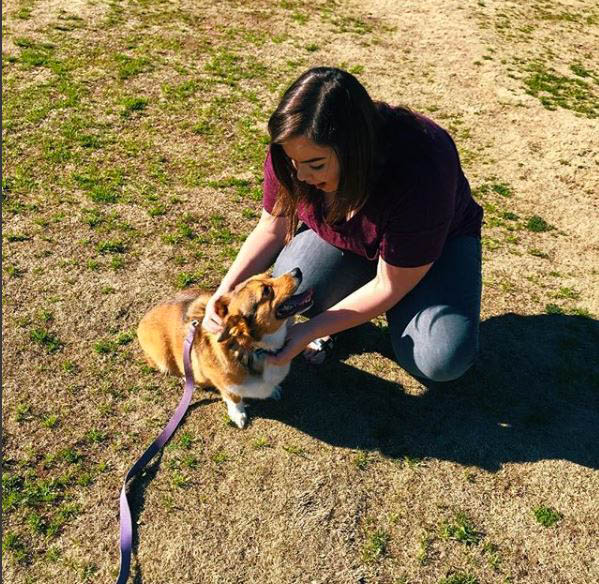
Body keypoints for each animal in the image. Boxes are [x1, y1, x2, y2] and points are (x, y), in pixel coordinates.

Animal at [137, 266, 314, 426]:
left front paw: (274, 390)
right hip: (163, 360)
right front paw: (238, 415)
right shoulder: (226, 385)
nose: (297, 270)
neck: (254, 348)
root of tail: (142, 320)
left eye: (270, 276)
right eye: (266, 291)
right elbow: (233, 398)